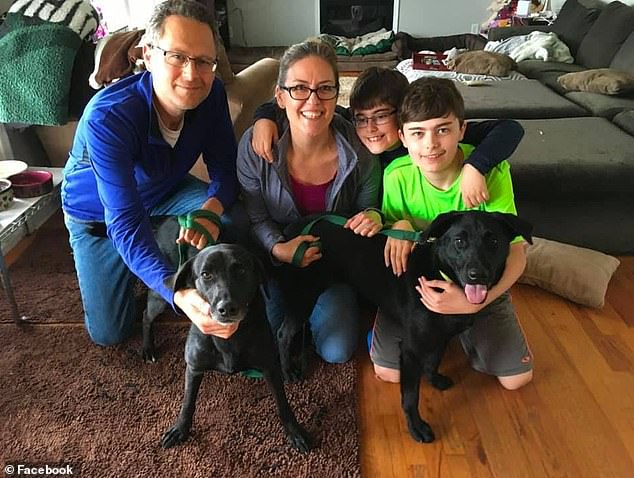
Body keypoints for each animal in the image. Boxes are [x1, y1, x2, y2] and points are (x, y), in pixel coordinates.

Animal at [143, 217, 312, 452]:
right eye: (206, 274)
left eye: (241, 270)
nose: (227, 308)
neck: (229, 337)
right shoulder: (194, 368)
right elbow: (187, 403)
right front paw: (180, 429)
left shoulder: (270, 367)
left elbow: (283, 404)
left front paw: (294, 432)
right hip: (161, 296)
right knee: (145, 316)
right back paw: (147, 348)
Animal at [278, 213, 532, 444]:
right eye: (460, 241)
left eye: (494, 242)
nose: (477, 275)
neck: (440, 274)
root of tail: (295, 226)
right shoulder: (411, 350)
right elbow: (410, 396)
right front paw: (416, 427)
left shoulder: (440, 335)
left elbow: (434, 359)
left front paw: (434, 379)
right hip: (304, 294)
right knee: (284, 332)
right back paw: (287, 370)